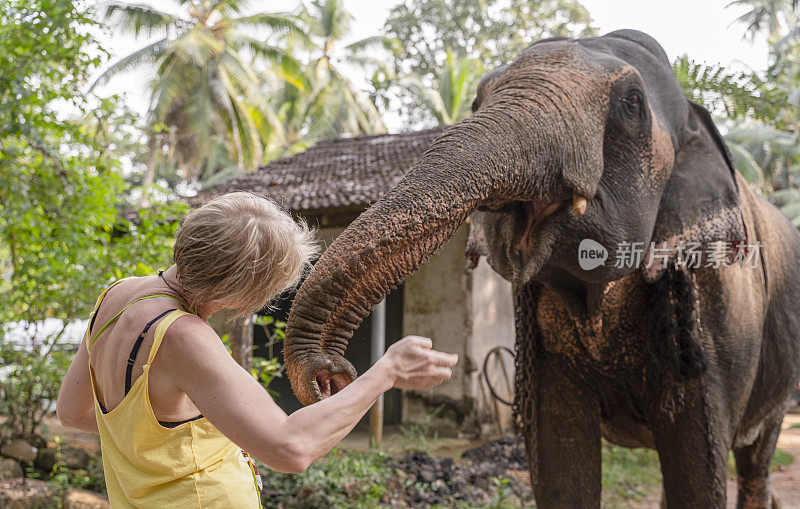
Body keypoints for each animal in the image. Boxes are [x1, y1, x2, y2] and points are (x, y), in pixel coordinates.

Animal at [282, 29, 800, 506]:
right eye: (477, 98)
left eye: (632, 103)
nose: (332, 376)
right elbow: (559, 459)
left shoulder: (719, 308)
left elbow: (697, 466)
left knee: (754, 460)